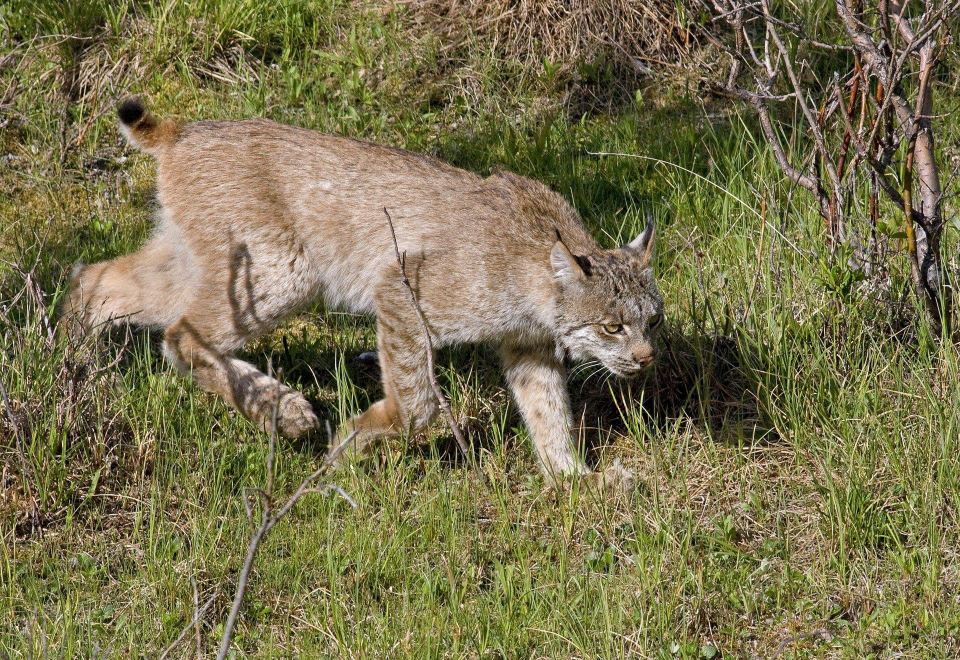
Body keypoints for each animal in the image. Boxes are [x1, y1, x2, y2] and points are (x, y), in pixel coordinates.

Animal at [63, 98, 664, 490]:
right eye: (613, 326)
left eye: (652, 322)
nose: (646, 359)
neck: (541, 282)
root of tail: (185, 129)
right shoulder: (400, 283)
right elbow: (417, 402)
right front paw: (360, 435)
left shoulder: (529, 345)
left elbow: (548, 410)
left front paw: (572, 479)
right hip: (285, 271)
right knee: (178, 333)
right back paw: (284, 411)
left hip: (204, 260)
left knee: (99, 279)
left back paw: (73, 357)